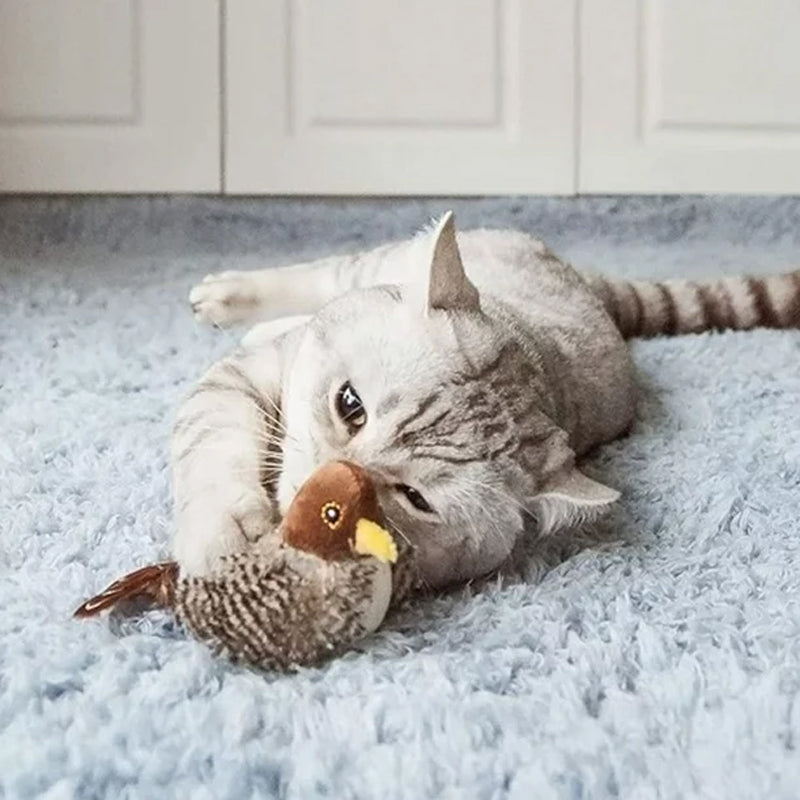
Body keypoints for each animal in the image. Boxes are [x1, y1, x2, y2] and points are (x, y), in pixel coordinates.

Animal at [173, 212, 800, 588]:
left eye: (413, 499)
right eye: (349, 406)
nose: (319, 494)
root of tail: (588, 284)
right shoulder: (244, 378)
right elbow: (213, 445)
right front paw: (223, 534)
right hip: (366, 267)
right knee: (317, 277)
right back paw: (226, 296)